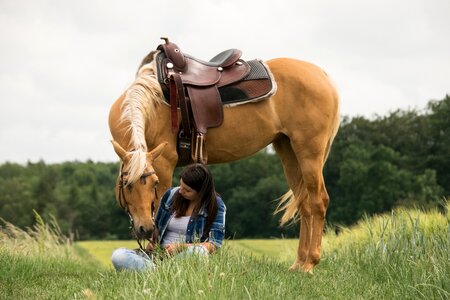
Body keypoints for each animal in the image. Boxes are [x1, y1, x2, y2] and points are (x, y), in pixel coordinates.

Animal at [109, 42, 340, 272]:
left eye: (154, 183)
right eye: (127, 185)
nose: (145, 229)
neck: (153, 103)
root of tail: (323, 76)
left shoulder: (164, 163)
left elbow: (160, 207)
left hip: (309, 152)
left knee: (318, 201)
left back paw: (310, 263)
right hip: (288, 151)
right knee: (304, 203)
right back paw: (298, 263)